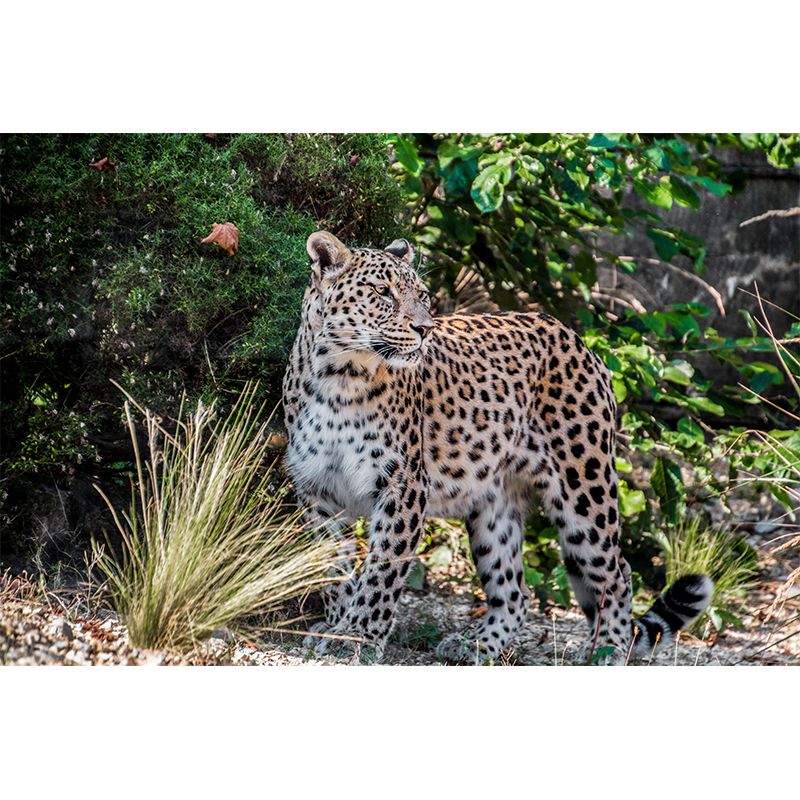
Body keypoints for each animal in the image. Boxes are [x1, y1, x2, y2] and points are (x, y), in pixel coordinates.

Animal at [282, 230, 713, 664]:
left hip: (584, 491)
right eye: (382, 292)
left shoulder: (402, 486)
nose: (425, 328)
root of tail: (575, 337)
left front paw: (358, 636)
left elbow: (382, 569)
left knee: (617, 573)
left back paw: (607, 648)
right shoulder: (317, 489)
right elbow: (330, 569)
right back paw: (476, 643)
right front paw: (335, 626)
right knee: (516, 591)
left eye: (421, 294)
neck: (340, 376)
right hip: (494, 503)